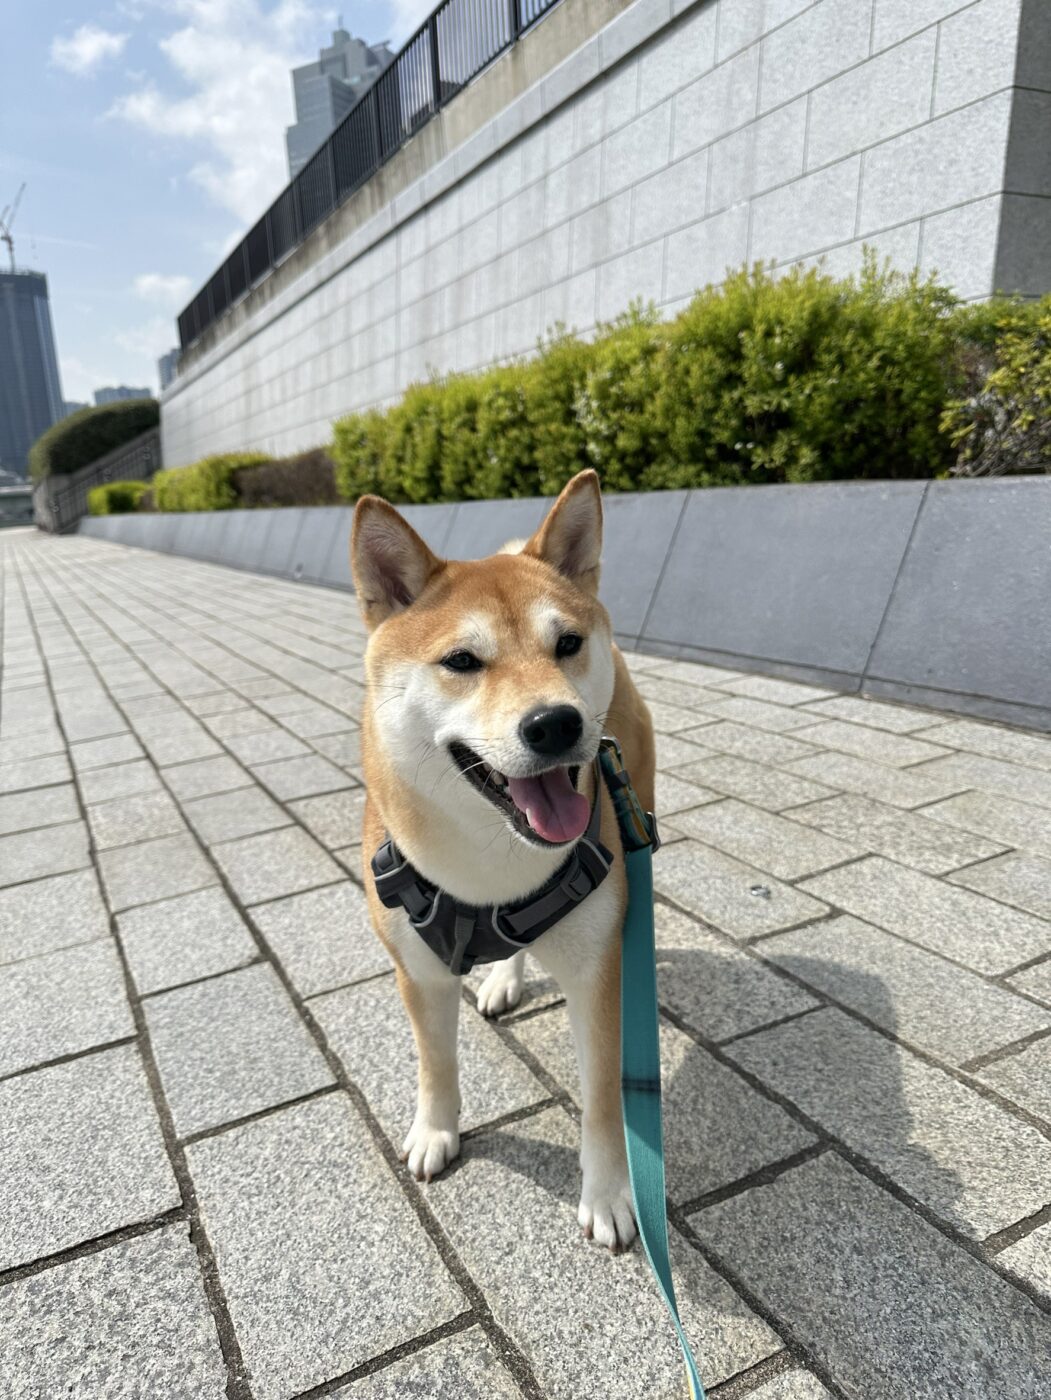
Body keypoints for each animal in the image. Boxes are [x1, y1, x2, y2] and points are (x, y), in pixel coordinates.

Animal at [352, 469, 655, 1251]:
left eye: (567, 643)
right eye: (462, 661)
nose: (556, 723)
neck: (490, 867)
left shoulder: (596, 976)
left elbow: (603, 1103)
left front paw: (609, 1195)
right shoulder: (417, 970)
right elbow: (435, 1062)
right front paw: (435, 1133)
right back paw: (502, 979)